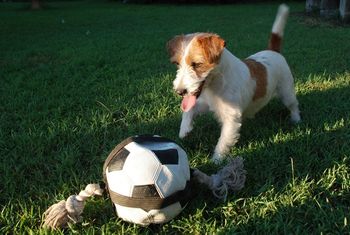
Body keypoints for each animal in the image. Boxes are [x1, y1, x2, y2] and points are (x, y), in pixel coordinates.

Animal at [167, 3, 300, 162]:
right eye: (177, 64)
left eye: (197, 64)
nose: (179, 91)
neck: (214, 86)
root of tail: (273, 51)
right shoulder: (204, 103)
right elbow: (189, 110)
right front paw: (184, 130)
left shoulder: (231, 118)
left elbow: (223, 141)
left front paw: (216, 161)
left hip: (287, 92)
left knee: (293, 105)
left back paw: (296, 120)